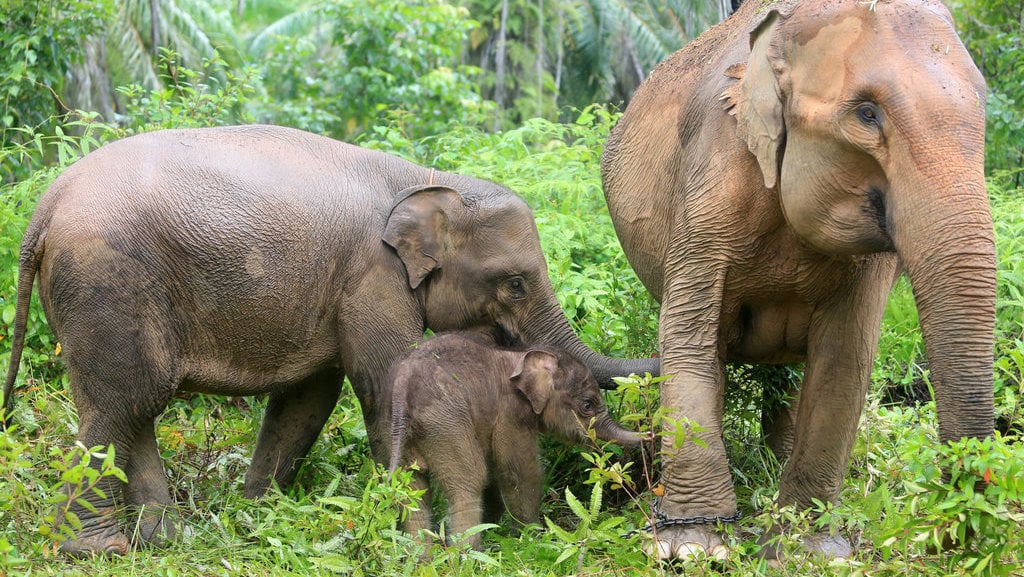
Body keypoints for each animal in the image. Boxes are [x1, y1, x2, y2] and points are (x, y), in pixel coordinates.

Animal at [385, 332, 647, 549]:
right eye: (587, 405)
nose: (651, 435)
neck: (519, 355)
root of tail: (402, 391)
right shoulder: (510, 413)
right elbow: (520, 472)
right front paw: (531, 539)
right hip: (446, 422)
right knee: (469, 481)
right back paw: (469, 557)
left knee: (412, 490)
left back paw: (422, 560)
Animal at [602, 0, 995, 561]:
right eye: (867, 114)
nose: (944, 530)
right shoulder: (711, 178)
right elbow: (688, 335)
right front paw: (694, 548)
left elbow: (844, 358)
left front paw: (807, 548)